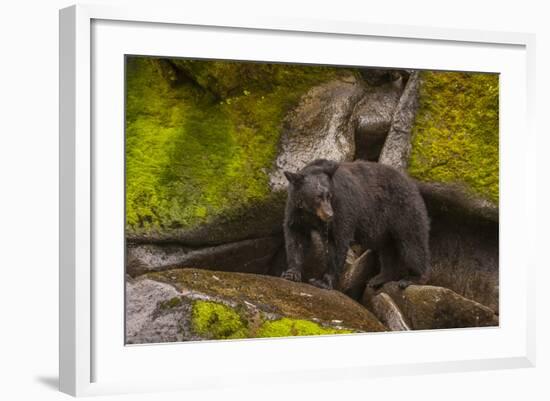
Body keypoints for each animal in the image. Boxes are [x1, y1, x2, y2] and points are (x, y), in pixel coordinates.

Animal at [284, 158, 432, 290]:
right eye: (318, 197)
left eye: (329, 195)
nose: (329, 214)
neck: (311, 212)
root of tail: (412, 183)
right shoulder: (296, 212)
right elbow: (296, 238)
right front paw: (291, 273)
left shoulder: (341, 206)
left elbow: (337, 241)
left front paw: (323, 282)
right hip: (386, 229)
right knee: (387, 250)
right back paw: (379, 278)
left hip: (404, 211)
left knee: (412, 243)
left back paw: (412, 278)